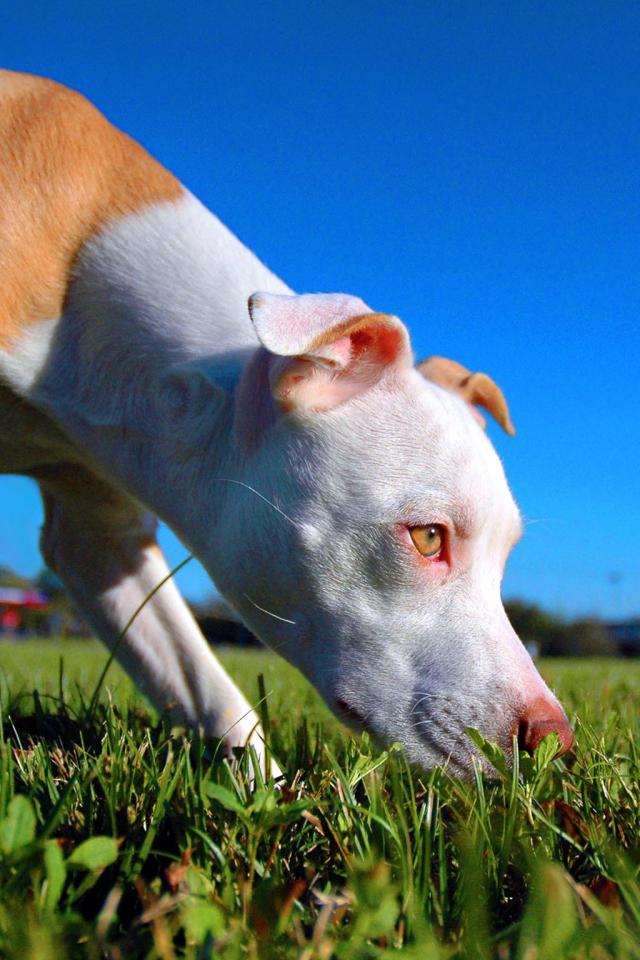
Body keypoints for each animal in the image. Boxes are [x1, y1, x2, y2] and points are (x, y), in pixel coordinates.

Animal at [0, 71, 572, 777]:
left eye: (506, 557)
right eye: (427, 537)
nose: (555, 742)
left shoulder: (96, 533)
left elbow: (205, 685)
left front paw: (266, 790)